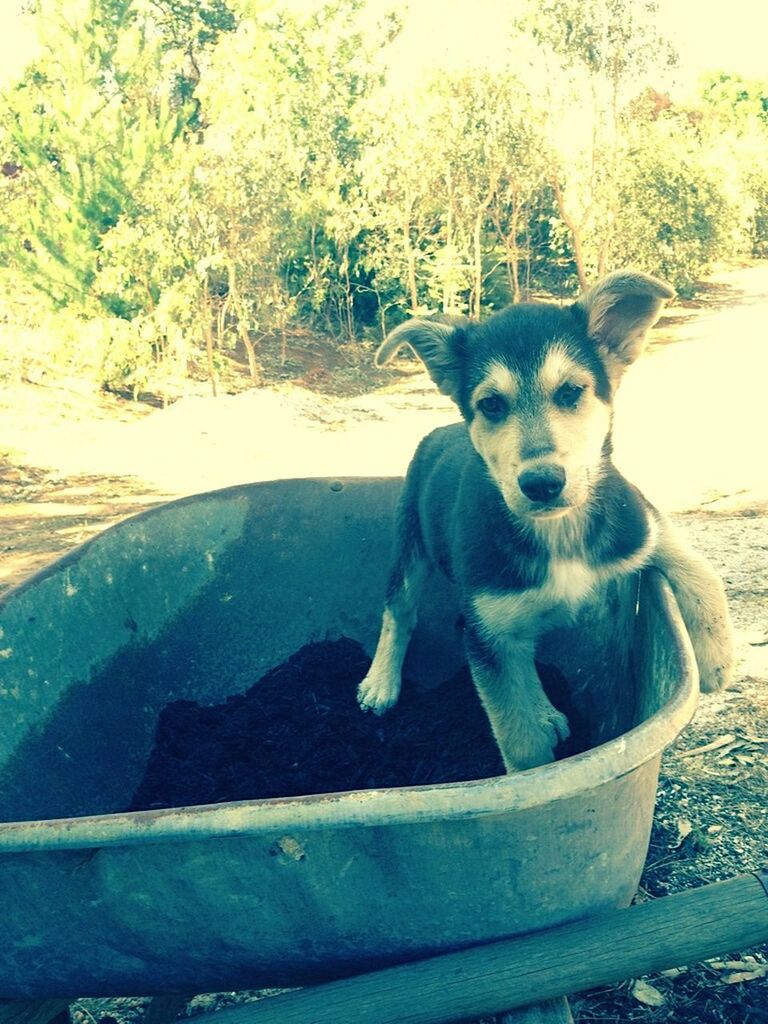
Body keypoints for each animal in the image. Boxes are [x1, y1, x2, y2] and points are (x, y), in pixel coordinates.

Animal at [358, 270, 737, 770]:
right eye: (491, 404)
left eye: (571, 392)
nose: (541, 483)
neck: (560, 530)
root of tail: (441, 430)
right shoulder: (488, 635)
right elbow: (520, 741)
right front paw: (535, 778)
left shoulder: (641, 524)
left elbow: (699, 567)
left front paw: (717, 661)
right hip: (413, 541)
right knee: (399, 610)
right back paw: (381, 681)